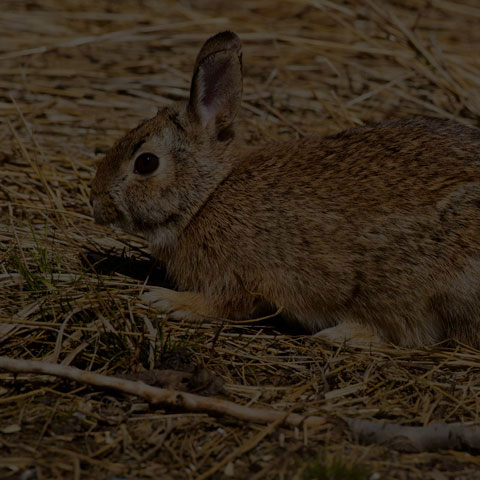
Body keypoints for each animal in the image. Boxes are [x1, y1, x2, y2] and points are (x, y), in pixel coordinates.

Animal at [89, 31, 480, 348]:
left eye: (146, 163)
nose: (95, 201)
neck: (207, 197)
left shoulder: (239, 276)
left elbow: (222, 304)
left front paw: (164, 300)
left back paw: (342, 333)